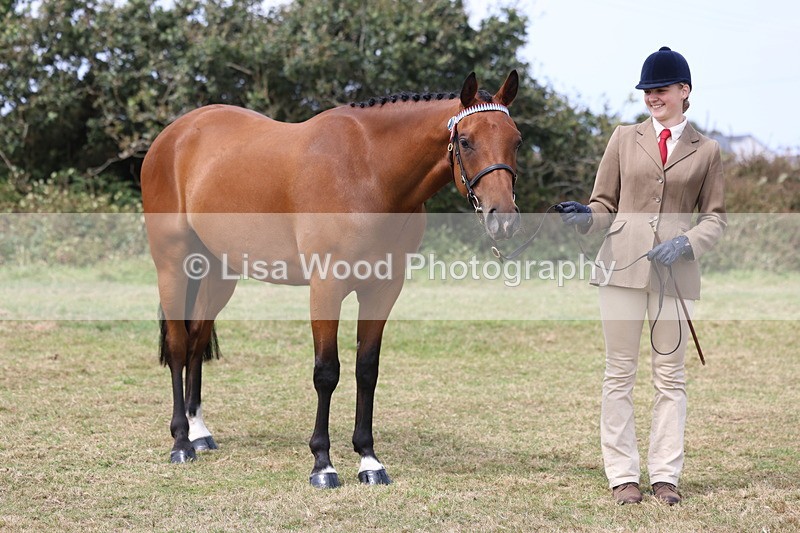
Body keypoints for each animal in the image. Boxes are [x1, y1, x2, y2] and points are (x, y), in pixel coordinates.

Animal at [141, 70, 523, 488]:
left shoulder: (383, 290)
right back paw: (181, 442)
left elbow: (367, 370)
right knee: (179, 344)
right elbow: (326, 372)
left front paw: (369, 461)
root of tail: (173, 136)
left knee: (196, 339)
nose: (503, 218)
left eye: (516, 140)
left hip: (217, 272)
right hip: (173, 264)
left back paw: (199, 432)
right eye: (466, 141)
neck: (368, 171)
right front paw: (323, 464)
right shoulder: (326, 287)